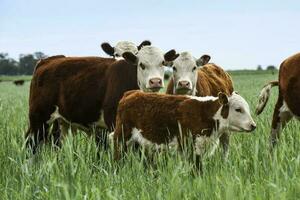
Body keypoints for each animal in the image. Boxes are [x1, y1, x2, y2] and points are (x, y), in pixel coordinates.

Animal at [25, 44, 178, 153]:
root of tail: (48, 60)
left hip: (62, 122)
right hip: (39, 118)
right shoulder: (113, 122)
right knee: (31, 144)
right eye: (141, 64)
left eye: (162, 63)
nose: (155, 81)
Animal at [111, 90, 256, 171]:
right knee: (118, 156)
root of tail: (131, 93)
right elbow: (197, 169)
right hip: (122, 137)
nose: (253, 125)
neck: (206, 113)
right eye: (238, 109)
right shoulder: (191, 147)